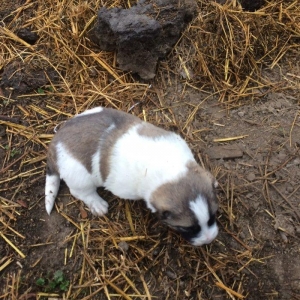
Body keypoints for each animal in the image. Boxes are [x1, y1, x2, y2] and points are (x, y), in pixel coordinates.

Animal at [45, 106, 218, 245]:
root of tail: (55, 142)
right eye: (188, 228)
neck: (169, 169)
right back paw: (98, 204)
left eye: (212, 216)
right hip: (80, 177)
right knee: (80, 192)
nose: (209, 240)